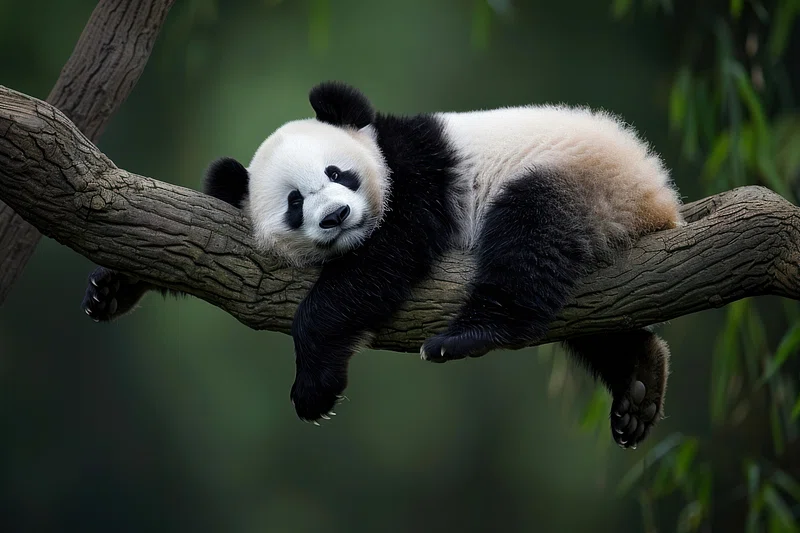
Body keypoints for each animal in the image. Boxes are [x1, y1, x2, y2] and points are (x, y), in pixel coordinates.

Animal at [83, 81, 682, 449]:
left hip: (582, 181)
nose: (337, 216)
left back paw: (470, 334)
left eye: (338, 174)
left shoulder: (417, 175)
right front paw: (114, 287)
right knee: (587, 317)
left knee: (529, 235)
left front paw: (314, 388)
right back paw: (638, 382)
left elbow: (383, 260)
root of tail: (659, 198)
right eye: (295, 202)